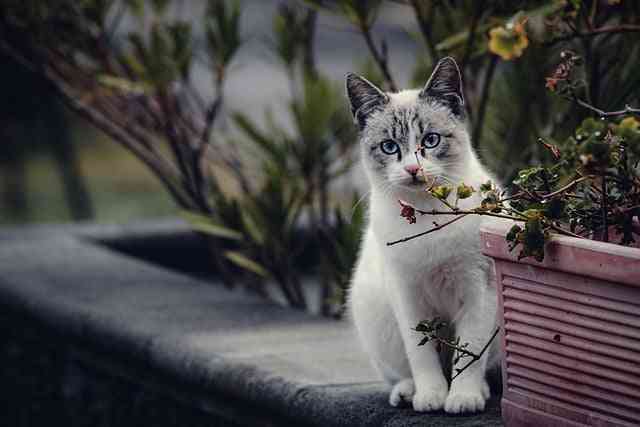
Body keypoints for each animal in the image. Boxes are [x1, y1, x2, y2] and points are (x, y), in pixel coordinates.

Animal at [344, 56, 500, 414]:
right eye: (389, 147)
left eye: (430, 141)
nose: (413, 169)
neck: (428, 215)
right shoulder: (406, 293)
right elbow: (421, 354)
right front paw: (431, 397)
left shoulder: (478, 287)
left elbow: (470, 353)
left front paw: (463, 398)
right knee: (402, 370)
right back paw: (406, 392)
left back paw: (482, 391)